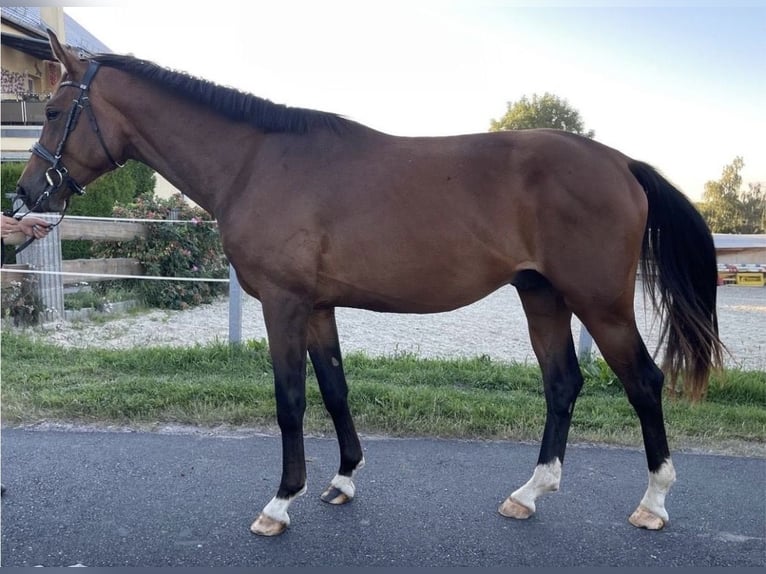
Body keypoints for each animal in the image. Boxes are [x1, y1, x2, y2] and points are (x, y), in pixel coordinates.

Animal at [16, 31, 724, 536]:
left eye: (53, 110)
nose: (24, 197)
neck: (256, 162)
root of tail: (621, 164)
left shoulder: (284, 303)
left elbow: (290, 399)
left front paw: (281, 501)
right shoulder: (318, 306)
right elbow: (334, 389)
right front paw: (344, 480)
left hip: (600, 304)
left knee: (643, 382)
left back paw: (654, 502)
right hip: (541, 295)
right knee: (563, 384)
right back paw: (529, 493)